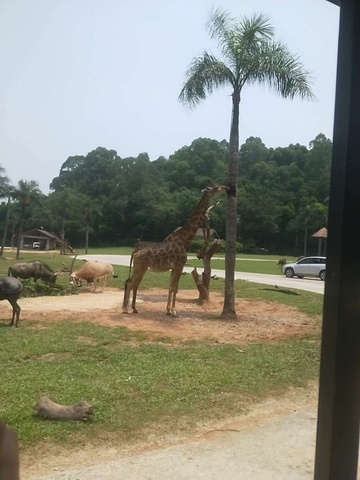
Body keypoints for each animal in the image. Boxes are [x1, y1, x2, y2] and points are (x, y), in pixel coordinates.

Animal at [122, 186, 226, 316]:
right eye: (215, 188)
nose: (226, 188)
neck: (185, 240)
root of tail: (135, 253)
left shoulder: (174, 267)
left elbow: (171, 287)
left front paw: (168, 310)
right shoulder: (179, 266)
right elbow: (175, 288)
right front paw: (174, 311)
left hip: (141, 267)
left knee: (132, 283)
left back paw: (134, 308)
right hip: (140, 267)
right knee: (131, 283)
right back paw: (126, 309)